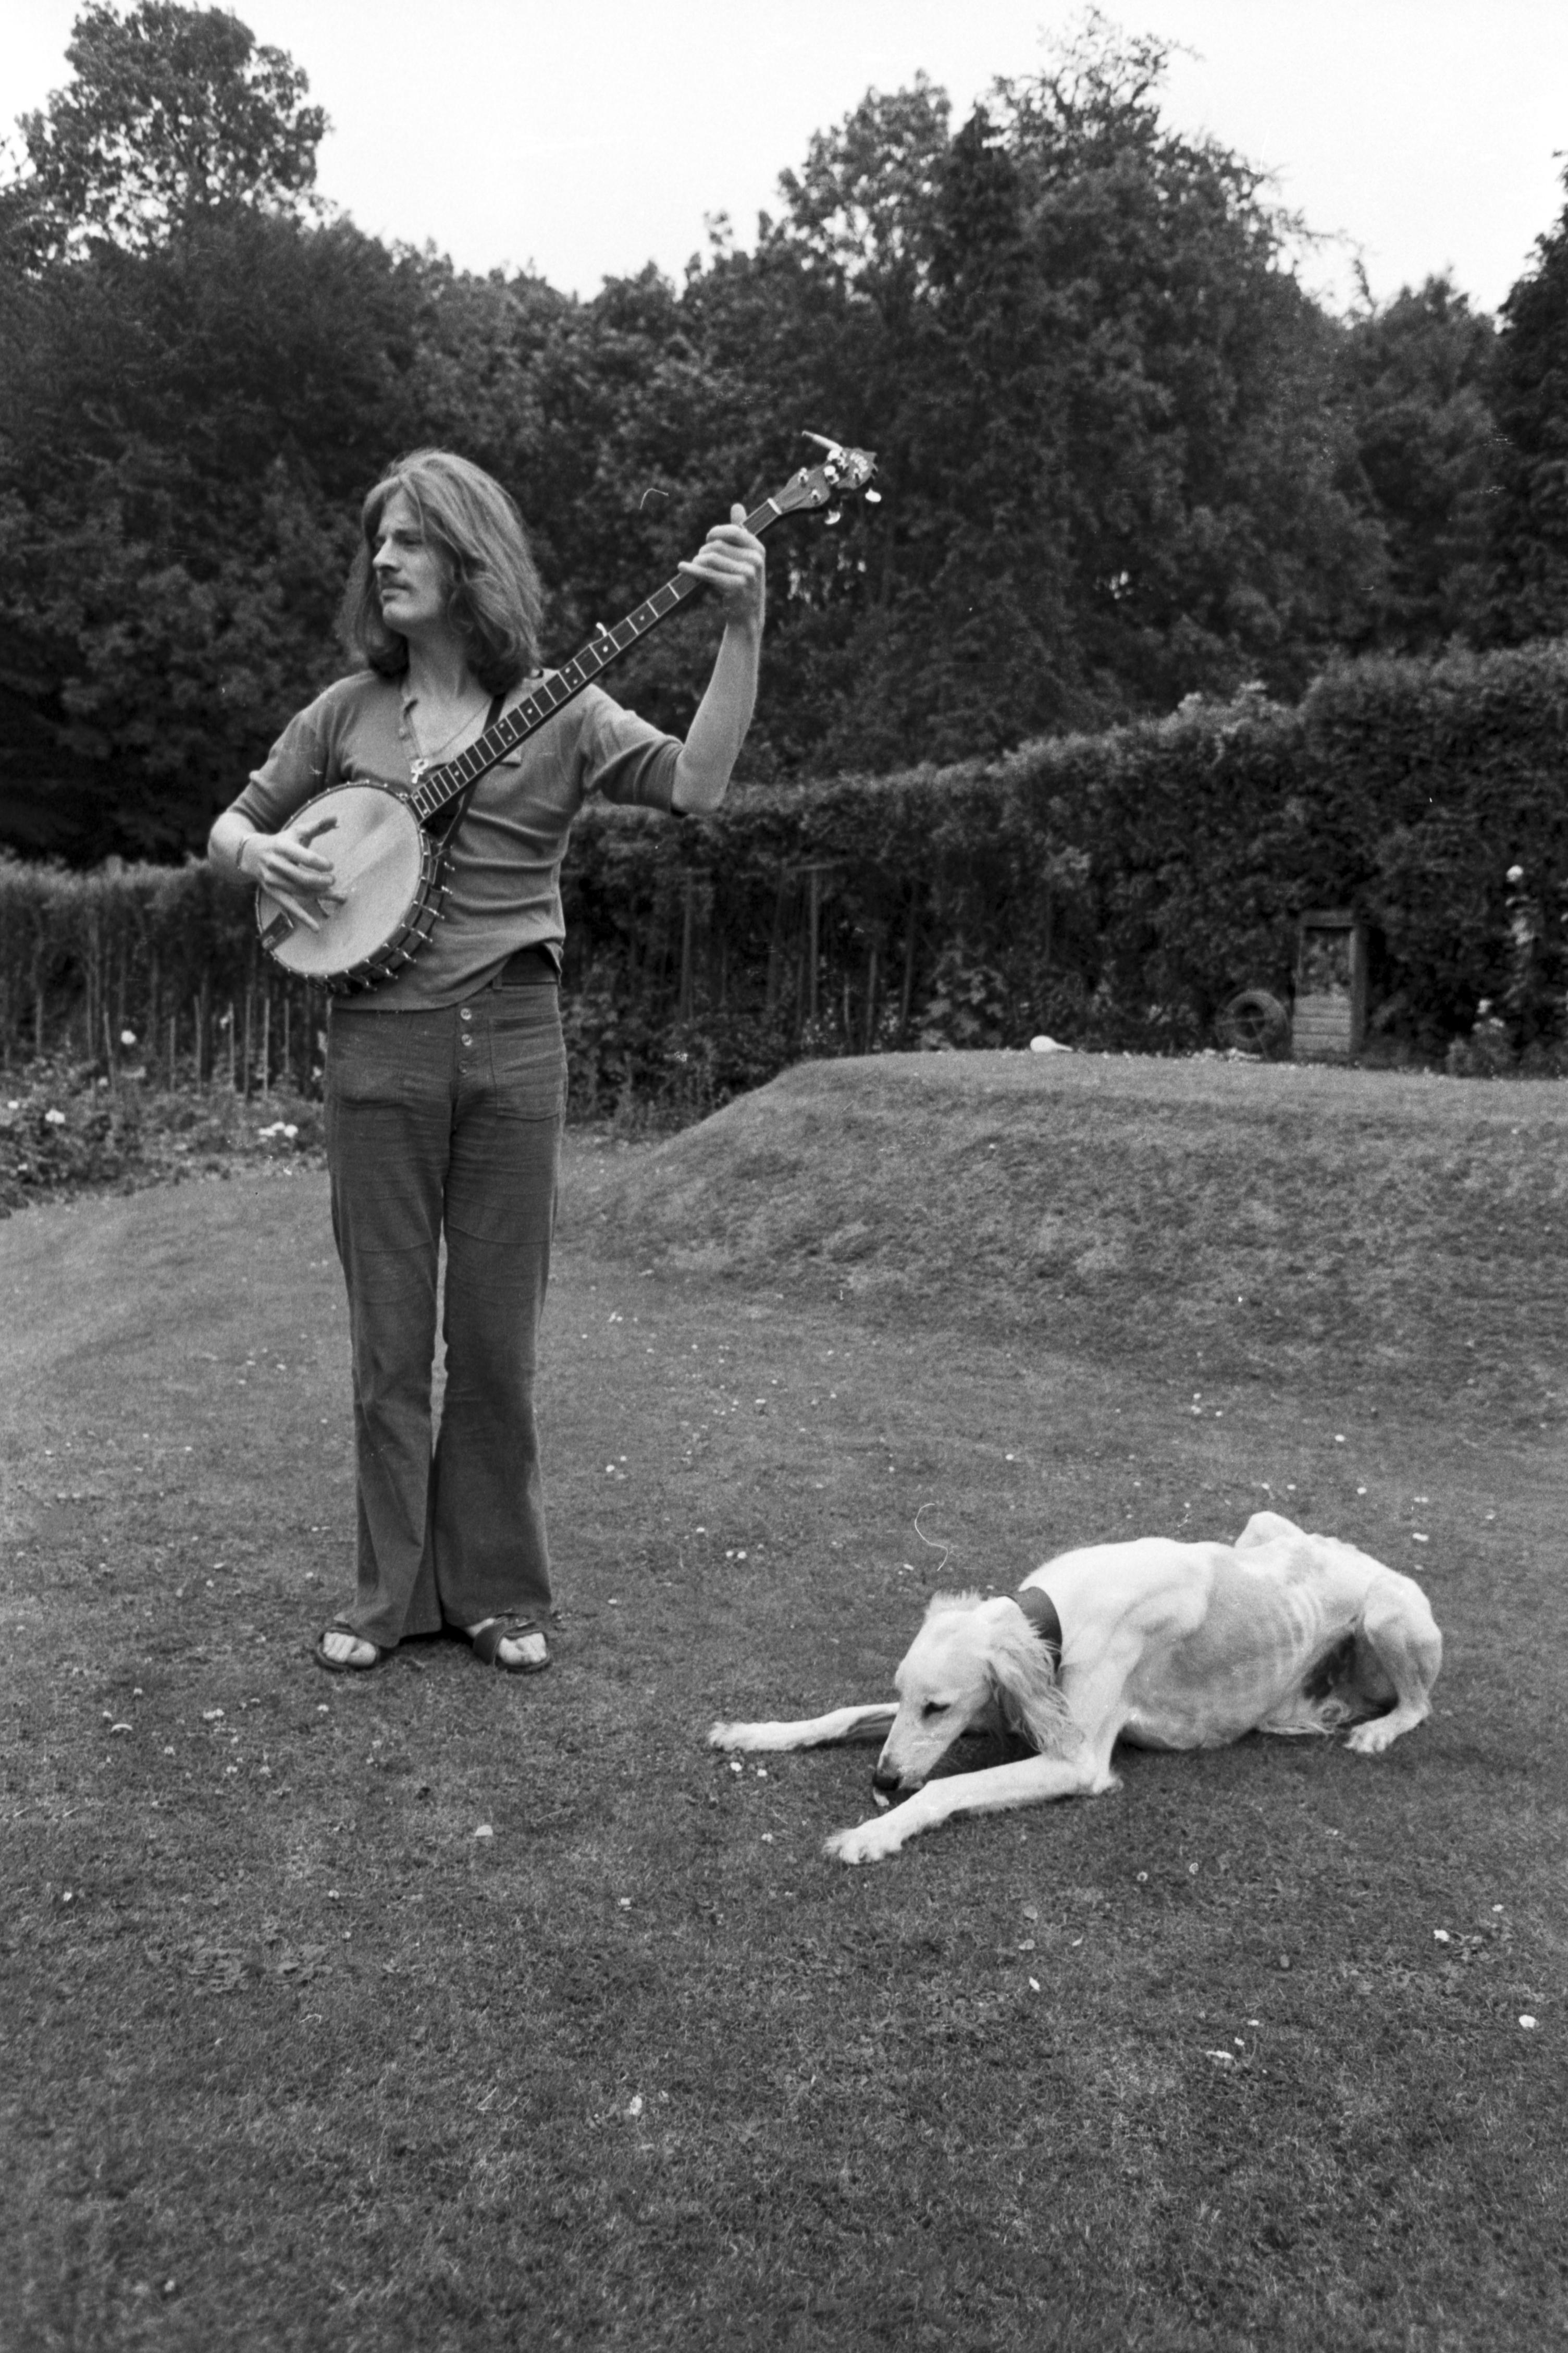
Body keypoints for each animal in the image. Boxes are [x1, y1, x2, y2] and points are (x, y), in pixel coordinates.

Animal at [710, 1515, 1448, 1864]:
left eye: (938, 1706)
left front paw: (875, 1831)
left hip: (1387, 1612)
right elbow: (843, 1711)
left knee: (1419, 1705)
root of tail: (1365, 1556)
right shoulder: (1005, 1704)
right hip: (1263, 1524)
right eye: (911, 1696)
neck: (1059, 1611)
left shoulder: (1075, 1757)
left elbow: (947, 1786)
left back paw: (1376, 1729)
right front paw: (756, 1732)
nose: (884, 1779)